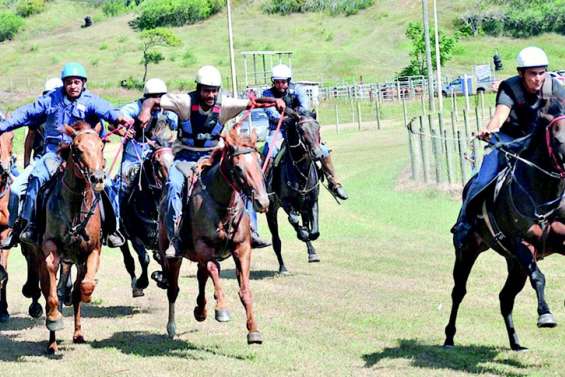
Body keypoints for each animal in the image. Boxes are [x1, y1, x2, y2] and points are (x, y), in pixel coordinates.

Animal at [31, 121, 107, 352]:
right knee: (49, 291)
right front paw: (54, 318)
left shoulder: (92, 251)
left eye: (101, 146)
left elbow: (84, 286)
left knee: (73, 292)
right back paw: (52, 342)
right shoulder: (50, 249)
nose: (97, 178)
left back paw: (78, 333)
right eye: (78, 149)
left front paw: (86, 295)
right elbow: (52, 295)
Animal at [118, 142, 172, 296]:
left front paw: (162, 278)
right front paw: (142, 282)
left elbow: (163, 258)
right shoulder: (135, 238)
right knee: (128, 260)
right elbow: (144, 258)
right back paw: (136, 286)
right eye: (157, 163)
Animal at [158, 126, 270, 344]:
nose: (262, 202)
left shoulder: (242, 249)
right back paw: (171, 326)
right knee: (173, 289)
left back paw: (200, 310)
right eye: (238, 168)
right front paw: (222, 309)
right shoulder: (204, 247)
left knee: (201, 276)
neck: (221, 206)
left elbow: (245, 289)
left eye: (259, 161)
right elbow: (214, 270)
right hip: (173, 255)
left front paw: (253, 331)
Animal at [264, 108, 322, 274]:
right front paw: (301, 233)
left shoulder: (312, 201)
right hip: (271, 211)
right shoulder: (285, 203)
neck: (300, 171)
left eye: (318, 128)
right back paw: (282, 267)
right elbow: (296, 222)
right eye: (302, 131)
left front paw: (311, 248)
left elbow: (314, 231)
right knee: (276, 240)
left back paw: (312, 252)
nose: (318, 153)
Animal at [442, 101, 564, 352]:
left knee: (505, 298)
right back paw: (449, 338)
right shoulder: (522, 243)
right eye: (557, 139)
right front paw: (545, 315)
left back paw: (516, 343)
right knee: (459, 291)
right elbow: (539, 277)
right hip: (468, 251)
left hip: (515, 264)